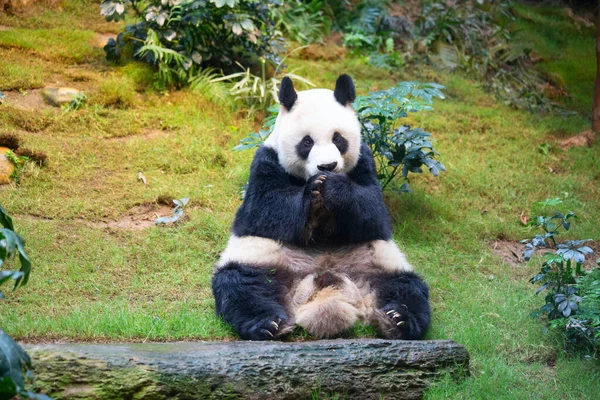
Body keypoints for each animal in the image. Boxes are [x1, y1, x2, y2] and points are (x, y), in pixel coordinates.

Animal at [212, 75, 432, 340]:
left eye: (338, 138)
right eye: (307, 142)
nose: (328, 166)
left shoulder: (364, 161)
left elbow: (373, 212)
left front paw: (335, 188)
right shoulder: (266, 162)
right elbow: (266, 211)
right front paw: (313, 191)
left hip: (380, 263)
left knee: (405, 287)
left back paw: (398, 319)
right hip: (261, 260)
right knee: (243, 285)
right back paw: (267, 324)